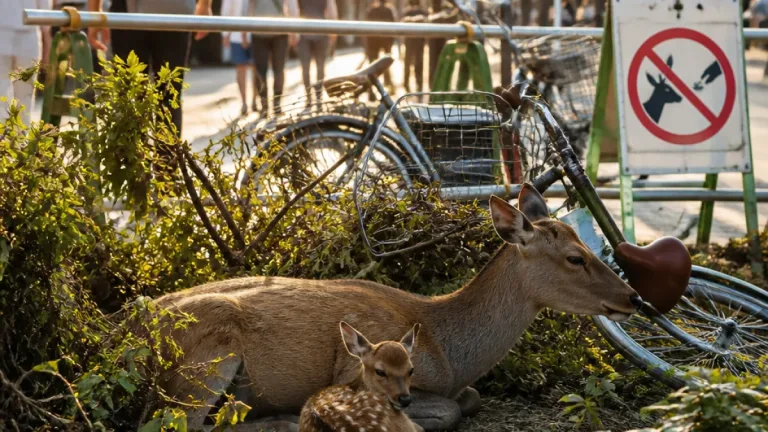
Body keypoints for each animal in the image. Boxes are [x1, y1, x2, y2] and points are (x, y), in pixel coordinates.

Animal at [154, 183, 641, 432]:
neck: (446, 350)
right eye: (576, 257)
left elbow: (470, 398)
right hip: (204, 364)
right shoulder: (354, 374)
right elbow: (448, 409)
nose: (632, 297)